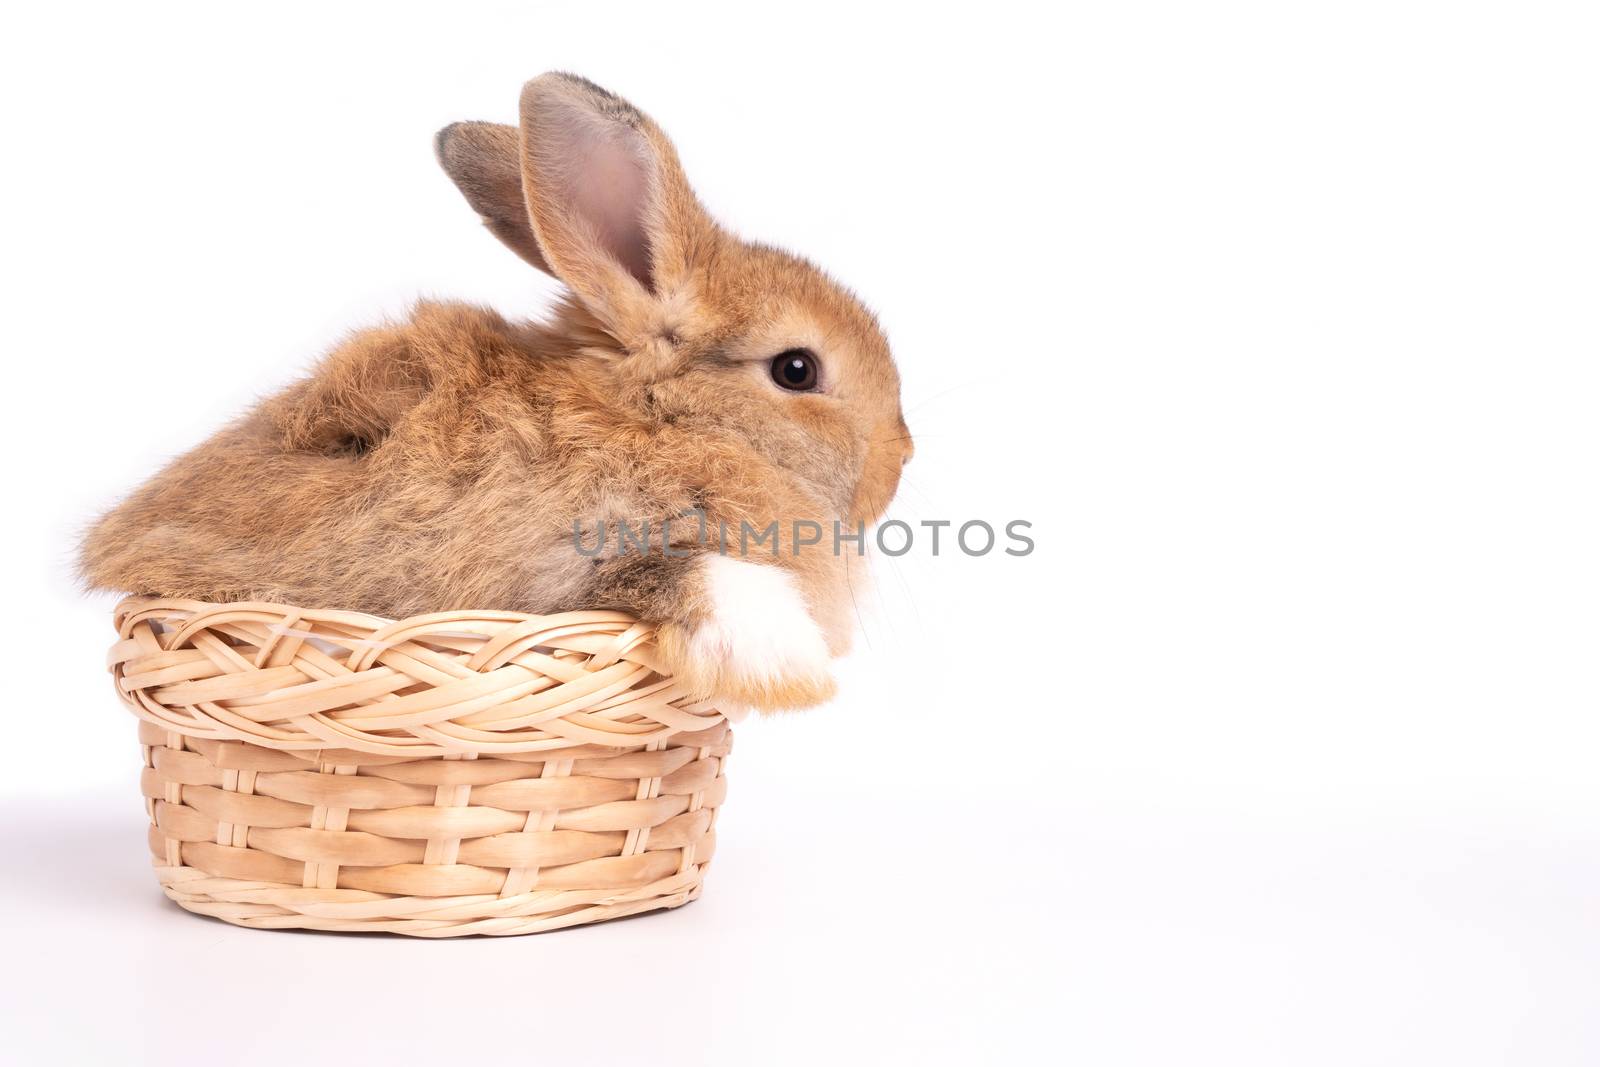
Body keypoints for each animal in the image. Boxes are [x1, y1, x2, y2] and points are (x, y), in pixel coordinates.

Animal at [81, 70, 915, 713]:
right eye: (797, 370)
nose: (900, 461)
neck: (661, 420)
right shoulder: (559, 556)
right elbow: (689, 570)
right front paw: (788, 668)